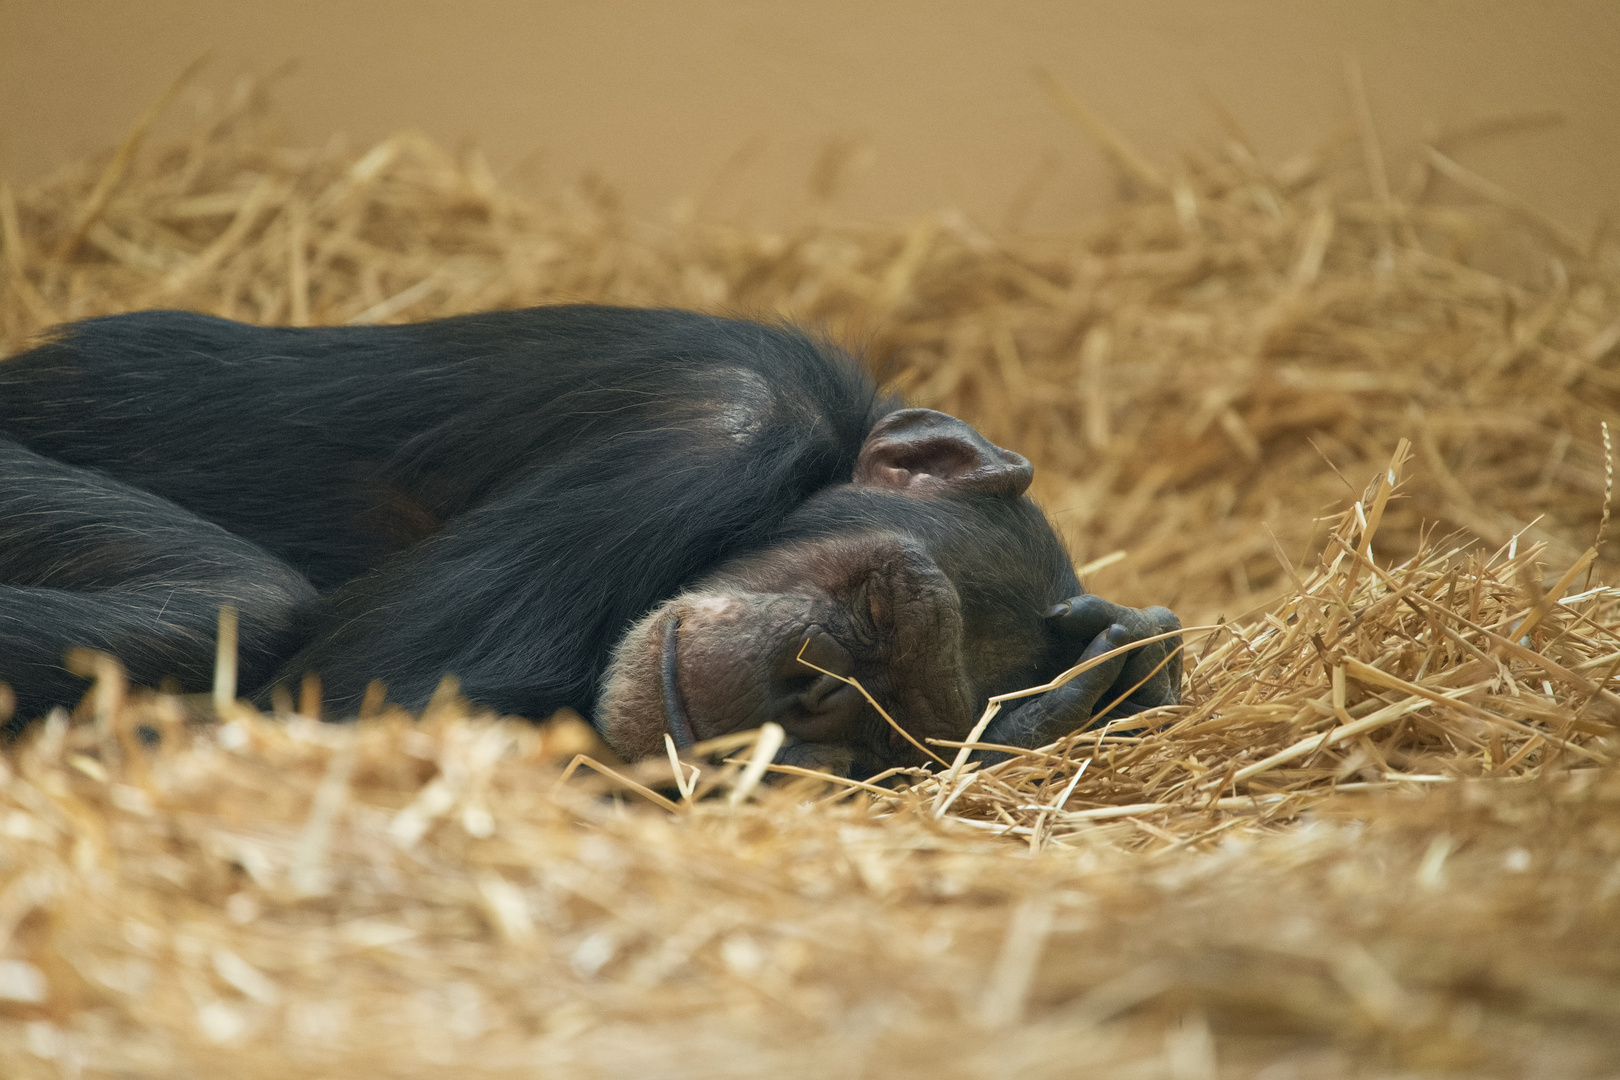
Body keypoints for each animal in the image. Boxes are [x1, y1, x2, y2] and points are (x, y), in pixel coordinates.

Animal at [0, 307, 1179, 773]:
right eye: (881, 604)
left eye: (893, 725)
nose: (809, 689)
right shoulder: (711, 437)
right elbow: (367, 701)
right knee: (239, 599)